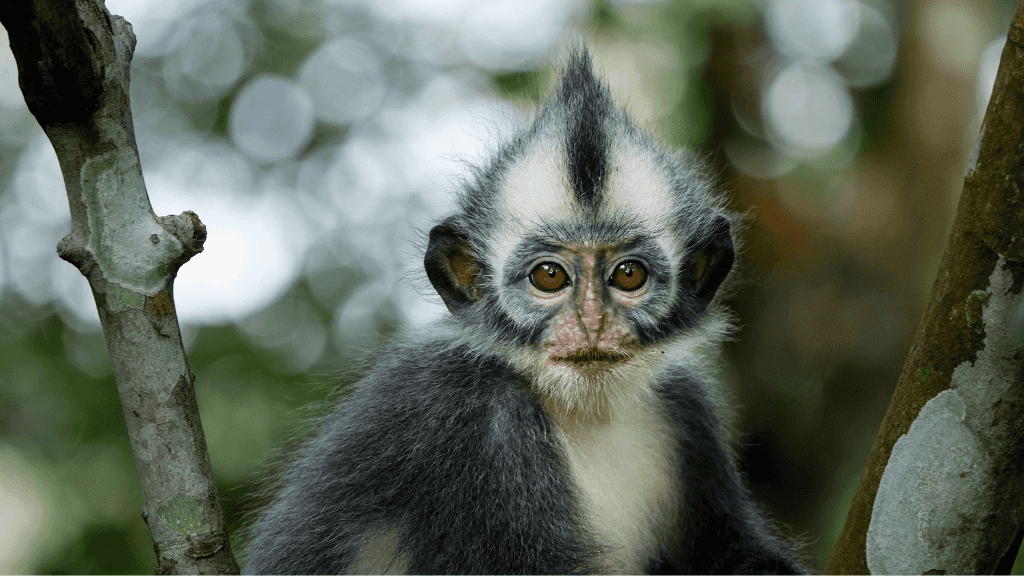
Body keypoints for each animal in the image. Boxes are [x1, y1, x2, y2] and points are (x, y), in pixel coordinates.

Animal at [244, 51, 805, 575]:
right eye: (549, 276)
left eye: (628, 275)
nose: (591, 325)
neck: (581, 413)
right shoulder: (472, 416)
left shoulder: (686, 405)